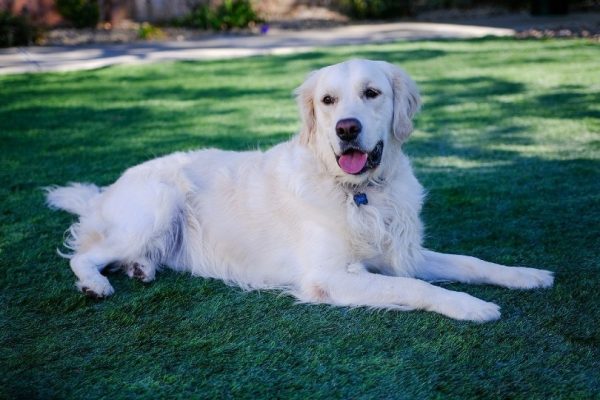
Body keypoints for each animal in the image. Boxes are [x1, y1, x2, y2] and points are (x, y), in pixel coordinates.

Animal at [47, 59, 552, 322]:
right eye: (327, 101)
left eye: (372, 93)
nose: (346, 129)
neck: (359, 191)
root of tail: (105, 191)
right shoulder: (330, 275)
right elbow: (414, 287)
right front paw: (473, 306)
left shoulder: (402, 252)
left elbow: (470, 262)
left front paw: (525, 275)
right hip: (157, 203)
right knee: (84, 254)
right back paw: (96, 283)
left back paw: (141, 269)